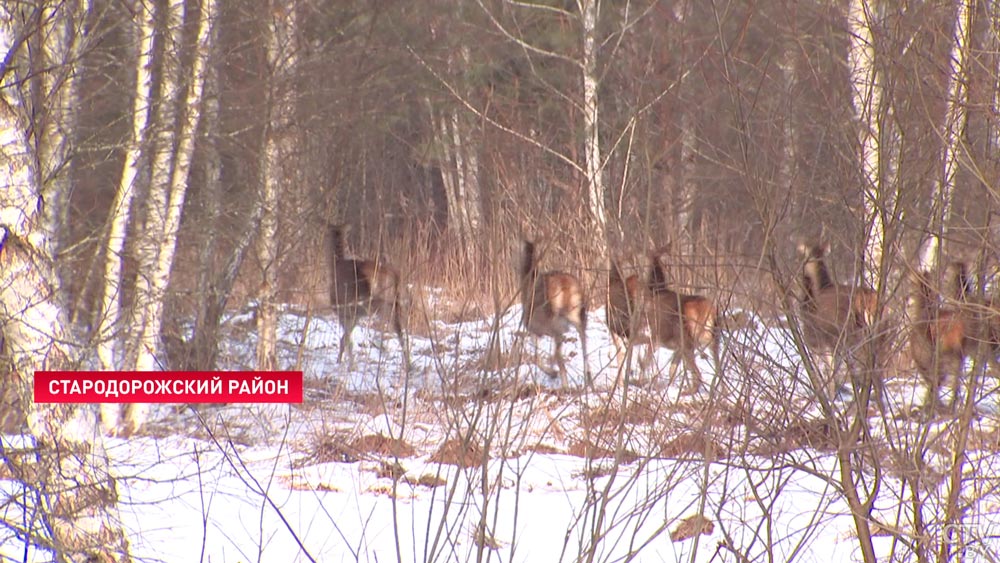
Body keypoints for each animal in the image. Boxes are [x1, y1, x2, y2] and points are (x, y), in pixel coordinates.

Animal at [326, 225, 408, 370]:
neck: (336, 264)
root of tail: (395, 275)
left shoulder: (345, 310)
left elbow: (346, 339)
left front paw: (347, 364)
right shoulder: (356, 314)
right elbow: (345, 338)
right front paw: (342, 362)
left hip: (381, 303)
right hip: (395, 304)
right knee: (400, 331)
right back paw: (407, 365)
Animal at [520, 238, 588, 388]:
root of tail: (565, 286)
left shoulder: (532, 326)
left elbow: (536, 356)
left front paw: (551, 372)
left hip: (551, 320)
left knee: (558, 350)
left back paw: (564, 382)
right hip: (577, 316)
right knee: (584, 343)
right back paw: (588, 380)